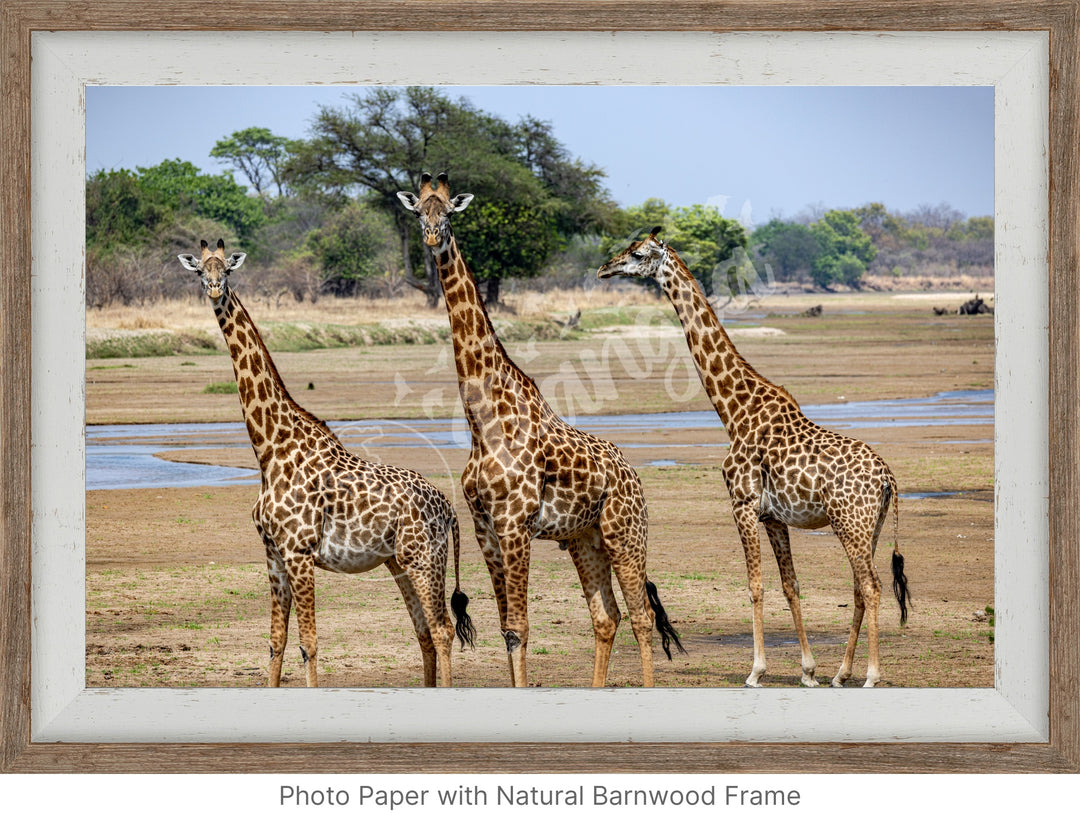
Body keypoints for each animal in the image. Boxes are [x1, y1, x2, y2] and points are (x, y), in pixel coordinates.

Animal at [177, 237, 473, 686]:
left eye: (226, 270)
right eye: (199, 271)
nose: (213, 289)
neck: (269, 449)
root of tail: (450, 511)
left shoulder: (299, 552)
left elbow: (309, 644)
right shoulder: (273, 554)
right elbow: (276, 642)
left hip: (425, 560)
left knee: (441, 630)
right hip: (398, 563)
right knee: (422, 631)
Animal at [397, 172, 682, 686]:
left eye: (447, 212)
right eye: (418, 211)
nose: (431, 238)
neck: (483, 420)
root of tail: (633, 475)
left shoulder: (515, 527)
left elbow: (521, 627)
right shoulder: (486, 529)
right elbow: (507, 628)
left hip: (626, 533)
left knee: (642, 616)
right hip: (585, 539)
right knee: (607, 616)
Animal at [596, 229, 907, 690]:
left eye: (636, 253)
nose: (604, 268)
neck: (734, 412)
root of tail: (888, 477)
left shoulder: (741, 505)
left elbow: (755, 585)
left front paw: (756, 671)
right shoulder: (774, 517)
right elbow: (790, 585)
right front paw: (808, 671)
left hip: (850, 522)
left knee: (871, 587)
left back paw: (870, 675)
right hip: (869, 524)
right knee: (858, 586)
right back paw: (841, 673)